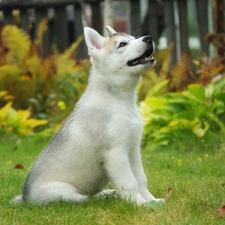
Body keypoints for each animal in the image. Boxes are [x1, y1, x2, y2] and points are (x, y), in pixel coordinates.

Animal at [12, 25, 163, 205]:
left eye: (133, 38)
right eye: (122, 44)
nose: (148, 38)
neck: (120, 100)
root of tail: (25, 197)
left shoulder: (133, 150)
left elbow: (141, 179)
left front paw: (152, 201)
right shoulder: (115, 153)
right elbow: (129, 182)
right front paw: (140, 203)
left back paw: (108, 193)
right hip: (63, 193)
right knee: (85, 199)